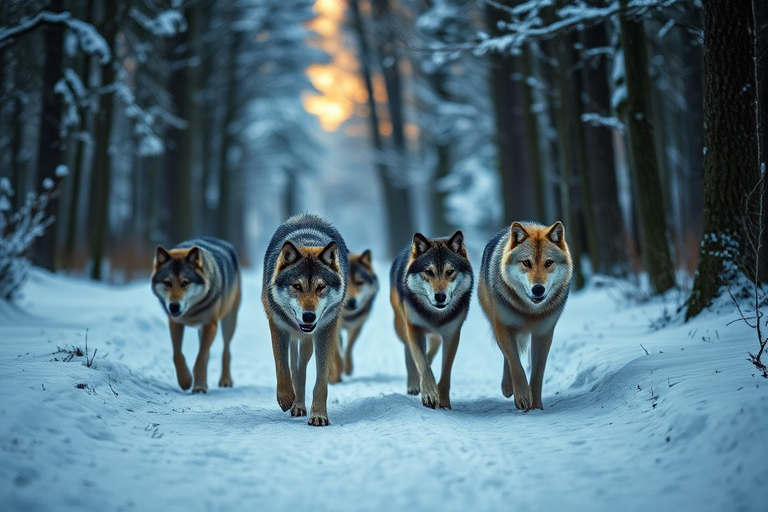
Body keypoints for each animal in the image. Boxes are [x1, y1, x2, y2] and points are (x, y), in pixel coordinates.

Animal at [151, 236, 241, 394]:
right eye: (167, 283)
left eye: (185, 283)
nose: (174, 306)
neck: (191, 312)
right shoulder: (175, 323)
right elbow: (177, 354)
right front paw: (186, 381)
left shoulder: (210, 325)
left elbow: (200, 357)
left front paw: (198, 386)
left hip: (228, 321)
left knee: (226, 351)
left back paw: (225, 381)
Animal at [262, 213, 348, 426]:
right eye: (297, 286)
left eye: (321, 287)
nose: (308, 316)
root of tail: (307, 215)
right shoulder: (277, 325)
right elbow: (282, 367)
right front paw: (286, 399)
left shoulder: (325, 331)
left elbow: (321, 381)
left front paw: (318, 415)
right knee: (293, 367)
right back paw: (295, 404)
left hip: (309, 341)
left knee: (300, 369)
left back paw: (300, 404)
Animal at [329, 250, 379, 383]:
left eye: (359, 282)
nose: (350, 302)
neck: (347, 316)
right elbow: (336, 355)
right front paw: (336, 375)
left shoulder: (357, 325)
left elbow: (348, 349)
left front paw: (348, 369)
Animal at [389, 231, 473, 409]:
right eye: (428, 272)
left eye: (450, 272)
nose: (440, 296)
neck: (435, 315)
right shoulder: (414, 328)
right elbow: (423, 364)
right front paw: (429, 395)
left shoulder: (452, 333)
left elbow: (445, 372)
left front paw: (444, 402)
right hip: (401, 327)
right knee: (409, 351)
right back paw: (414, 385)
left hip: (435, 336)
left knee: (431, 350)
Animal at [478, 221, 572, 411]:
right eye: (526, 263)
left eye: (548, 263)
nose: (538, 289)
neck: (530, 311)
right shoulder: (504, 328)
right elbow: (515, 363)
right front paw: (522, 397)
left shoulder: (543, 335)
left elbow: (537, 375)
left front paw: (536, 406)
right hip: (497, 329)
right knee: (507, 356)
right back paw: (507, 387)